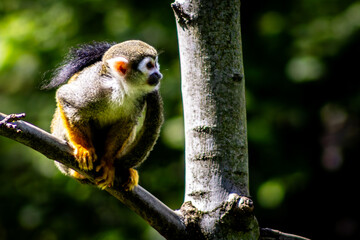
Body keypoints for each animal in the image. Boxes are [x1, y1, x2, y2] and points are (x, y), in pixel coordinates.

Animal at [46, 39, 163, 189]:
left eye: (156, 65)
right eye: (149, 65)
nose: (158, 74)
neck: (120, 87)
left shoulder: (139, 99)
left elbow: (125, 124)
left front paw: (107, 162)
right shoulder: (93, 88)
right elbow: (65, 98)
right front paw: (83, 148)